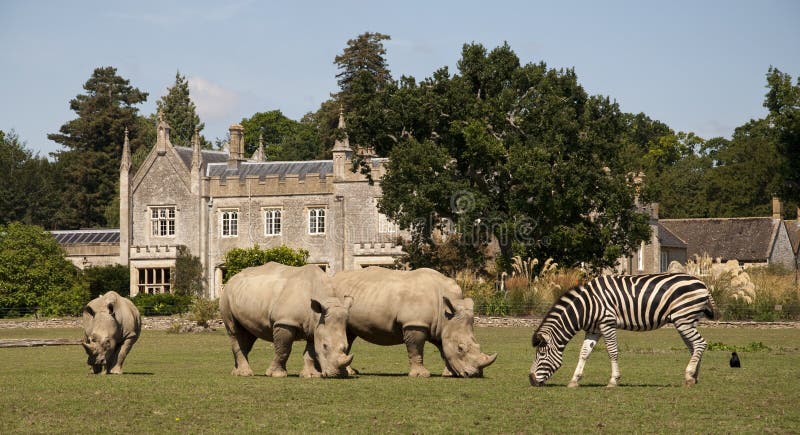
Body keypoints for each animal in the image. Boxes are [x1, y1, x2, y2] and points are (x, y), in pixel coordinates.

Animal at [220, 262, 354, 378]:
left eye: (347, 346)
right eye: (325, 346)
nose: (338, 375)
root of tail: (232, 278)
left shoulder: (314, 326)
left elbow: (311, 351)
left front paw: (311, 375)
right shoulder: (285, 322)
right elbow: (283, 348)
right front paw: (276, 374)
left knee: (248, 334)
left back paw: (236, 372)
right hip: (226, 295)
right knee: (235, 331)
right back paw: (245, 373)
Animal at [330, 266, 494, 378]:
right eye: (460, 348)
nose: (474, 374)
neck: (445, 314)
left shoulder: (441, 327)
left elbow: (444, 350)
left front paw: (449, 373)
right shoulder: (415, 324)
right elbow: (416, 349)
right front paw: (422, 375)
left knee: (349, 334)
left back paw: (350, 372)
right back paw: (349, 372)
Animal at [532, 274, 720, 390]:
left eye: (541, 354)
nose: (531, 380)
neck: (587, 306)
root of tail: (703, 284)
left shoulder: (607, 323)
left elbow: (612, 351)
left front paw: (613, 380)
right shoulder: (594, 330)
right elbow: (584, 353)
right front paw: (574, 380)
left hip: (684, 319)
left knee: (700, 343)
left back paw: (689, 375)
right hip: (686, 320)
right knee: (694, 347)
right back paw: (693, 378)